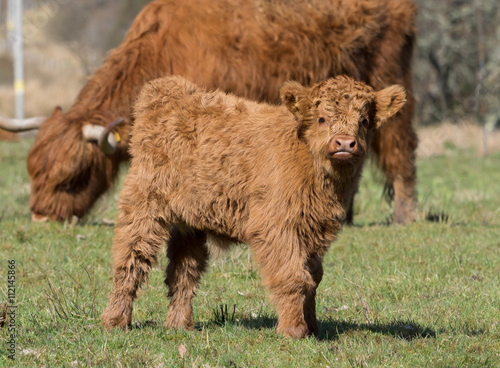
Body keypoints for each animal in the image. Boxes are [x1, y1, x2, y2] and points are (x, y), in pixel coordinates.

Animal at [26, 0, 418, 224]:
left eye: (72, 178)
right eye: (34, 175)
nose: (41, 218)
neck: (165, 46)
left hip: (387, 74)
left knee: (399, 143)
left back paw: (405, 214)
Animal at [100, 75, 406, 340]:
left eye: (364, 121)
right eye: (321, 118)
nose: (344, 143)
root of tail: (167, 89)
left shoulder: (313, 230)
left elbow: (313, 277)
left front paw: (313, 327)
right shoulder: (278, 227)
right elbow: (293, 276)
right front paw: (293, 331)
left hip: (190, 221)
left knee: (184, 271)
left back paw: (180, 325)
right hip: (143, 205)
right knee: (130, 261)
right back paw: (115, 321)